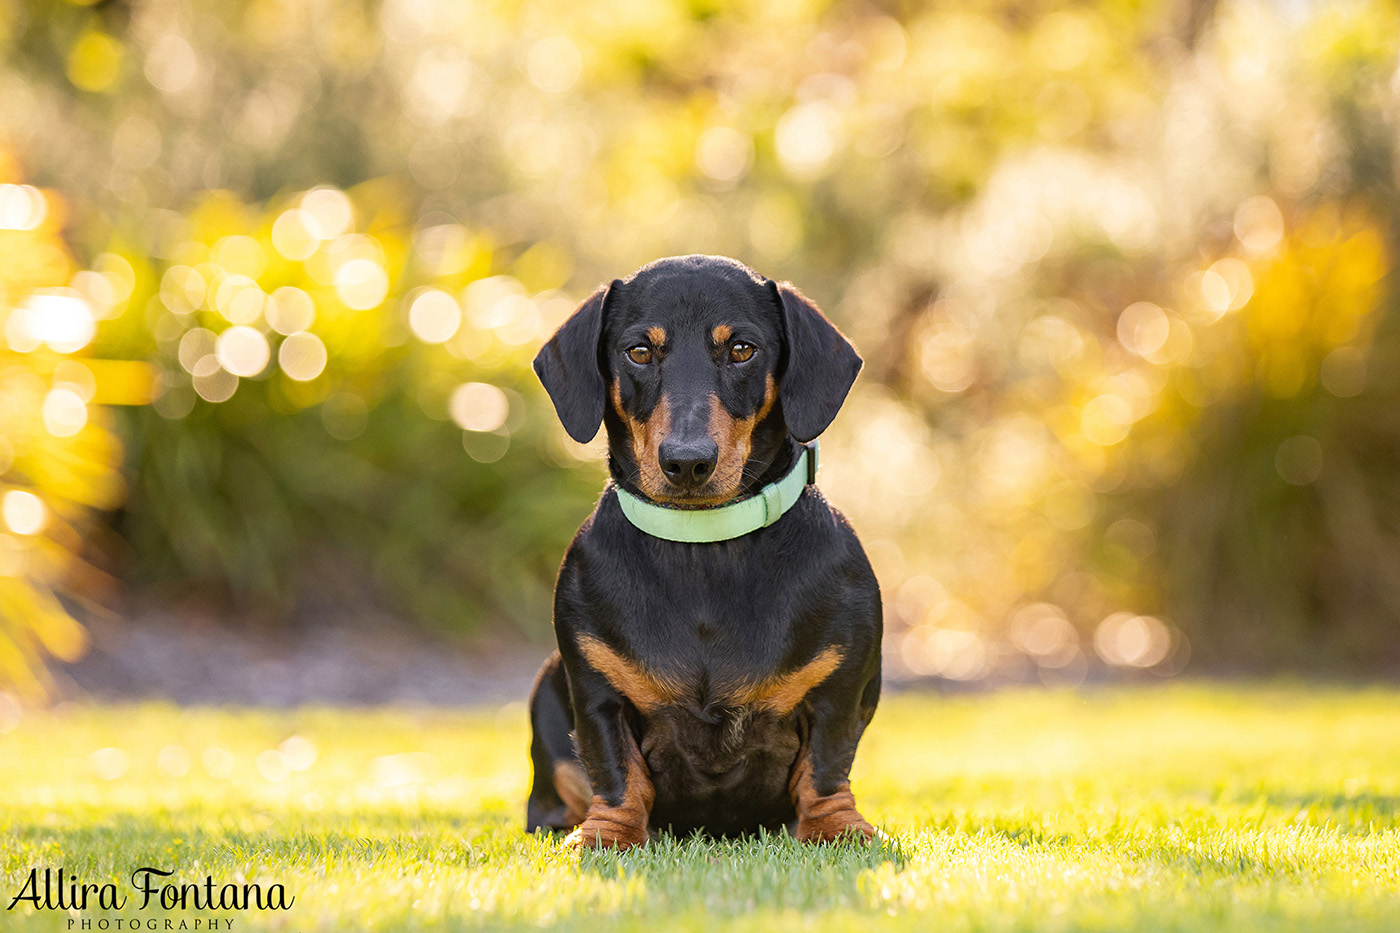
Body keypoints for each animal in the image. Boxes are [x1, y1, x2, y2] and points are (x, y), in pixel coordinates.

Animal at [526, 250, 873, 846]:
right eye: (639, 351)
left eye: (742, 349)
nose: (687, 462)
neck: (703, 544)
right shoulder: (596, 690)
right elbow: (614, 770)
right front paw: (606, 835)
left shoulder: (839, 684)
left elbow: (826, 768)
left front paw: (837, 826)